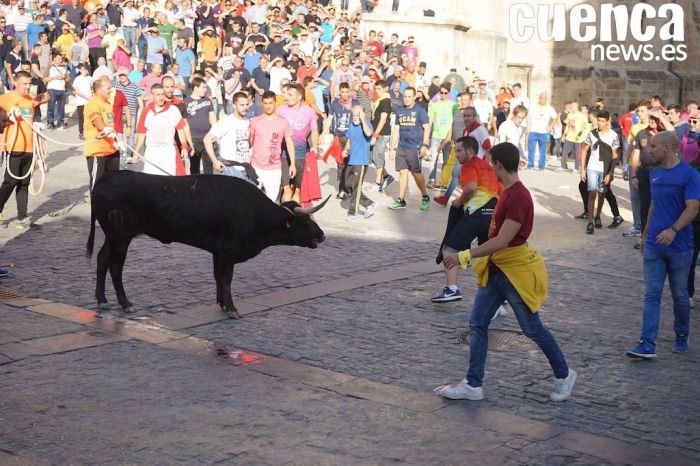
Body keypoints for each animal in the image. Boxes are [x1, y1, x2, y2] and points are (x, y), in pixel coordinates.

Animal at [87, 171, 328, 320]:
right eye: (304, 221)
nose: (321, 235)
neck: (252, 210)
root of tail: (108, 177)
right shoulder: (229, 250)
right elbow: (227, 278)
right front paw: (231, 308)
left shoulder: (217, 251)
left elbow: (218, 276)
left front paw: (222, 303)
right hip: (120, 237)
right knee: (115, 266)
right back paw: (125, 303)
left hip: (113, 237)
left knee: (101, 259)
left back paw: (102, 300)